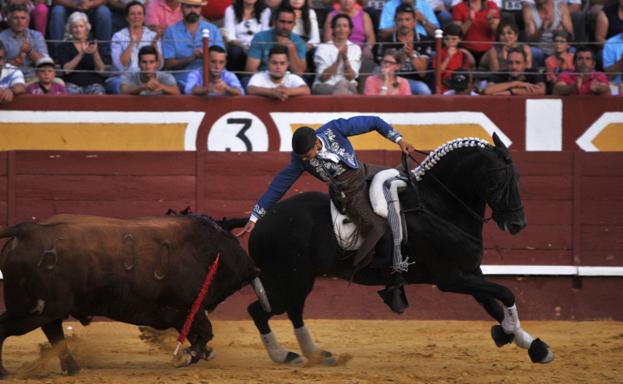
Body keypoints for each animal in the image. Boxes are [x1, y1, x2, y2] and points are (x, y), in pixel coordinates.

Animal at [0, 214, 266, 376]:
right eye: (234, 244)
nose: (254, 268)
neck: (204, 251)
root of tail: (25, 230)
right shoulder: (182, 308)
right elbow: (204, 331)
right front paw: (189, 356)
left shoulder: (185, 312)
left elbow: (198, 332)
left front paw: (200, 353)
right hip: (33, 310)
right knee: (11, 328)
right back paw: (6, 371)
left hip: (47, 309)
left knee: (54, 331)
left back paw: (72, 368)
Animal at [246, 135, 552, 366]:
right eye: (498, 181)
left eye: (518, 177)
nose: (518, 224)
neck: (438, 205)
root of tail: (260, 224)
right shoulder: (452, 279)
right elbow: (506, 292)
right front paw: (509, 335)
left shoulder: (470, 272)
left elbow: (493, 304)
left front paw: (533, 346)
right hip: (291, 280)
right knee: (267, 311)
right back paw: (290, 355)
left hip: (294, 281)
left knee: (283, 311)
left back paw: (310, 355)